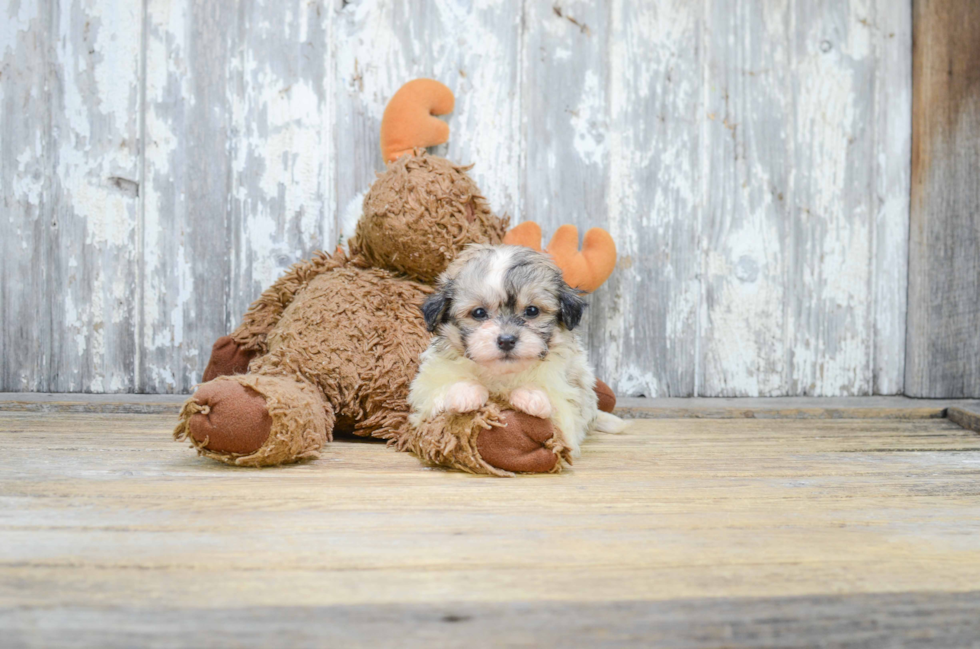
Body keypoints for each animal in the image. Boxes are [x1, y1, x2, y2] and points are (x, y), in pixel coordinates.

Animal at [408, 242, 628, 456]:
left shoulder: (571, 401)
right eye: (478, 313)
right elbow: (437, 390)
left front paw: (532, 395)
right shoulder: (424, 388)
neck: (502, 375)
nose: (506, 340)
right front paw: (466, 392)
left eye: (532, 311)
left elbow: (561, 419)